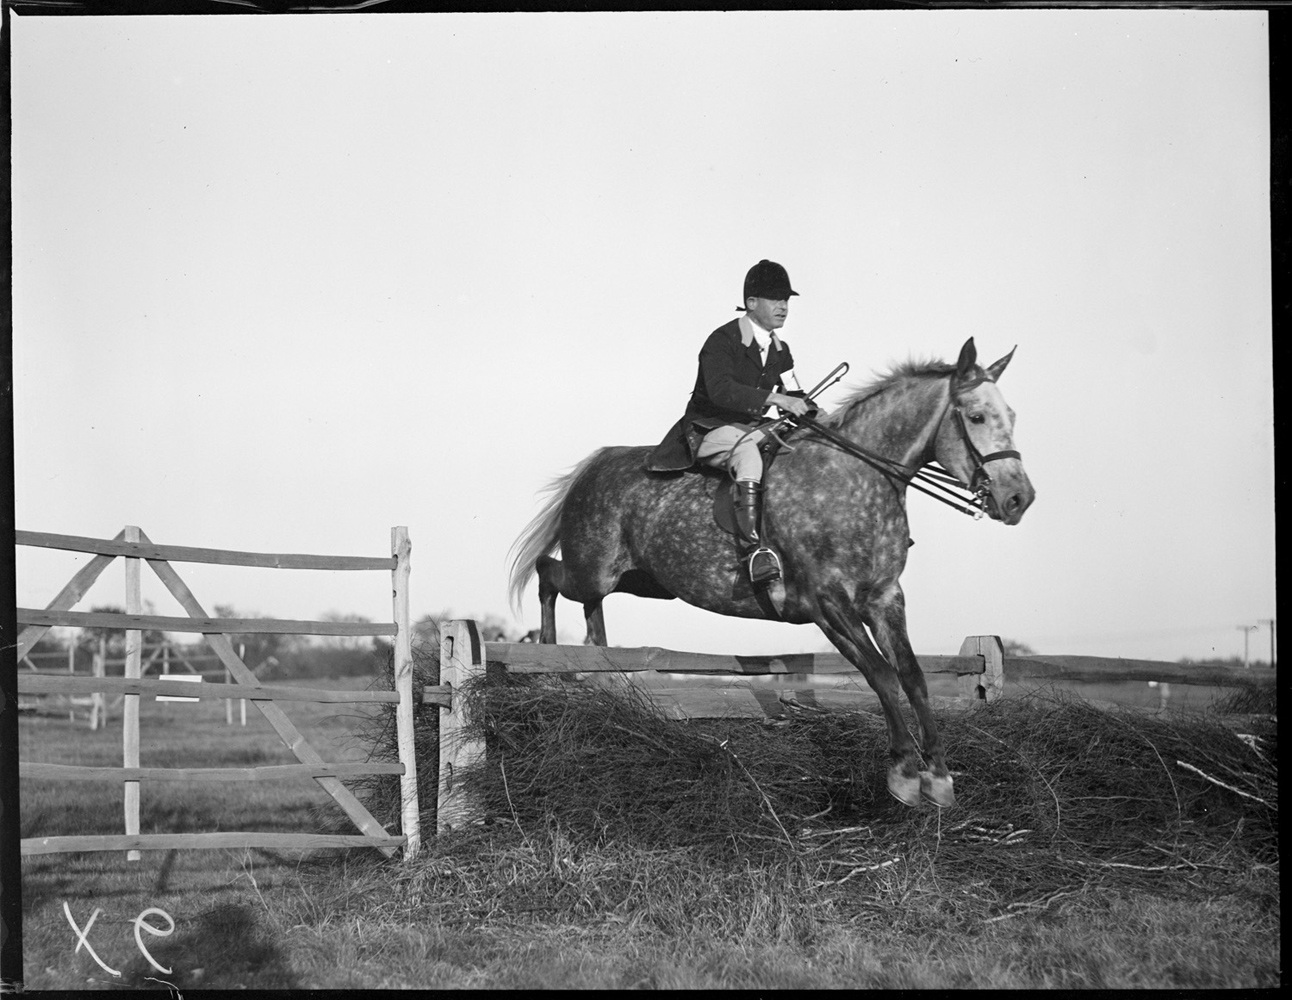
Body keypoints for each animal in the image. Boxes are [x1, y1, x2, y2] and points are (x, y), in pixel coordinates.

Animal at [509, 341, 1033, 811]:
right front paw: (904, 773)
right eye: (977, 417)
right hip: (594, 567)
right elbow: (882, 675)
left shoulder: (885, 598)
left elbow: (913, 677)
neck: (858, 479)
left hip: (641, 581)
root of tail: (597, 462)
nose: (1019, 499)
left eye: (1012, 415)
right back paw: (551, 659)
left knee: (587, 603)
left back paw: (602, 666)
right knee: (549, 575)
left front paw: (939, 778)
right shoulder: (827, 603)